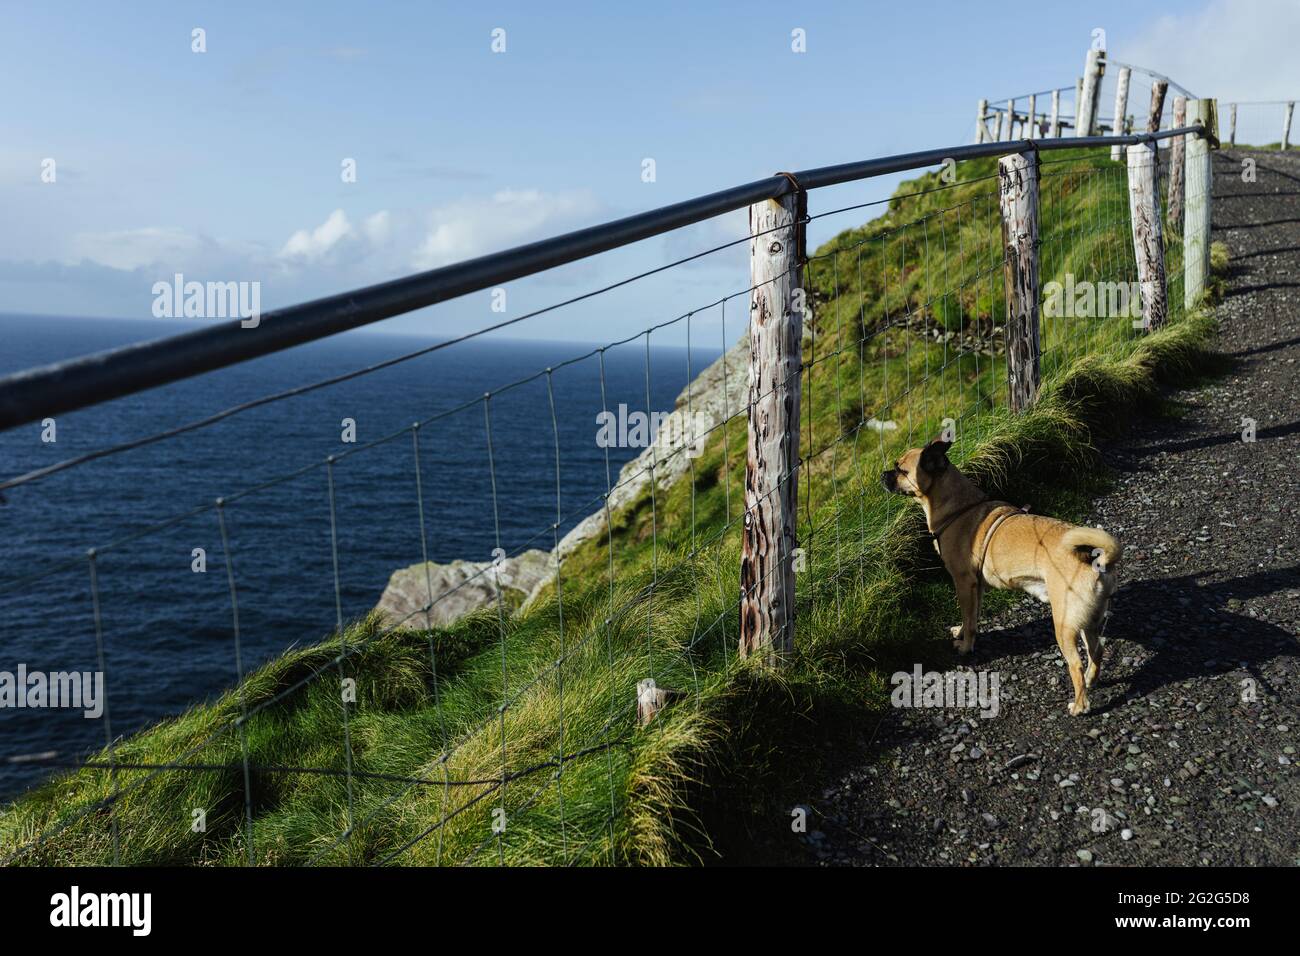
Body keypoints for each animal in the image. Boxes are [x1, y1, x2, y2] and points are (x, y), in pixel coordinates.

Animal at [883, 437, 1118, 712]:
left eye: (901, 470)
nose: (883, 474)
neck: (958, 507)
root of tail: (1094, 560)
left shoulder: (963, 583)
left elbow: (970, 621)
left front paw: (966, 647)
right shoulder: (976, 587)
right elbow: (971, 618)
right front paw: (961, 632)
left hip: (1064, 623)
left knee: (1076, 664)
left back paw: (1080, 705)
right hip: (1088, 622)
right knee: (1097, 650)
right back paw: (1092, 680)